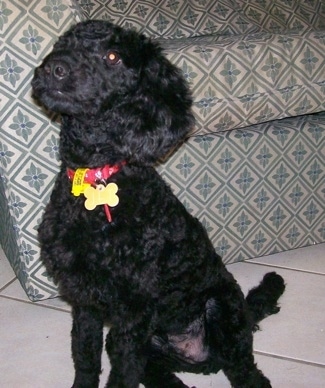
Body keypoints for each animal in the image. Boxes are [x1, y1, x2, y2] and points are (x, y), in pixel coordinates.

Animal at [31, 20, 284, 388]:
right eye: (63, 43)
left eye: (113, 57)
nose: (55, 68)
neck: (96, 175)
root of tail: (198, 356)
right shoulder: (85, 301)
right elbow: (85, 356)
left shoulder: (132, 313)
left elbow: (121, 374)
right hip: (151, 347)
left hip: (223, 315)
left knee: (247, 373)